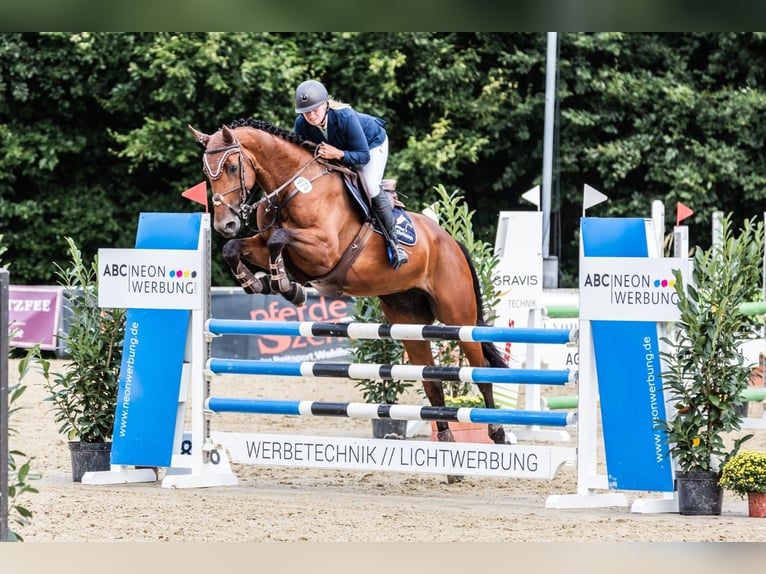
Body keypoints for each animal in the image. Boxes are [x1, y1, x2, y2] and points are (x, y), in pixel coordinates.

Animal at [188, 118, 510, 454]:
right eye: (206, 172)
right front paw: (259, 283)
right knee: (430, 379)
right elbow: (235, 248)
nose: (225, 225)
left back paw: (498, 433)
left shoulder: (323, 249)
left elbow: (279, 238)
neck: (292, 187)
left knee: (480, 369)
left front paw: (284, 284)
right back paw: (446, 446)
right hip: (409, 322)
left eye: (231, 167)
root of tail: (451, 242)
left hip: (458, 316)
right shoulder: (266, 245)